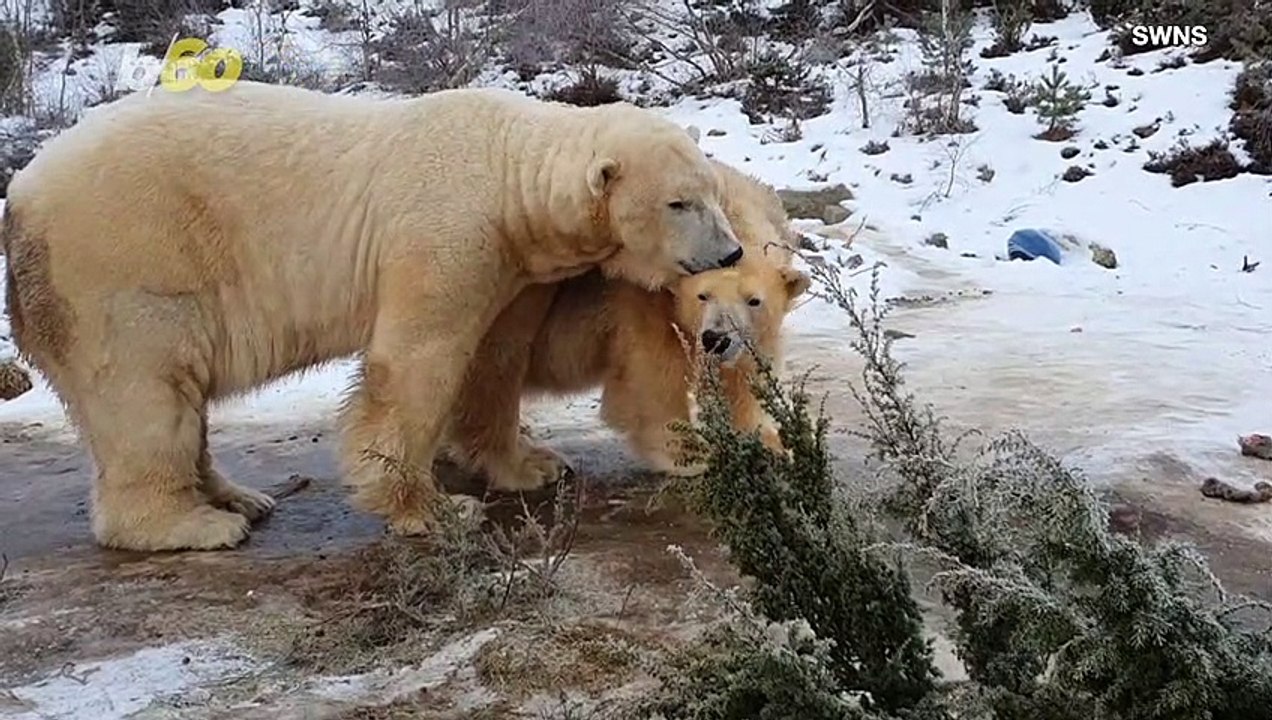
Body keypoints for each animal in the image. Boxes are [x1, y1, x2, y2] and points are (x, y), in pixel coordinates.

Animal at [1, 80, 745, 551]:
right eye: (679, 203)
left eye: (712, 192)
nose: (731, 250)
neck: (507, 167)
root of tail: (20, 197)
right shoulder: (446, 230)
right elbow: (418, 361)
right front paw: (436, 509)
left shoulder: (511, 263)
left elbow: (493, 358)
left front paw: (532, 463)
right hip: (126, 262)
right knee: (146, 393)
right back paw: (193, 525)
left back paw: (237, 498)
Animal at [445, 158, 808, 486]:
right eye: (702, 295)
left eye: (754, 300)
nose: (715, 338)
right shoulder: (642, 302)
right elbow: (654, 377)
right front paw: (692, 453)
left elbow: (746, 373)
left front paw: (772, 445)